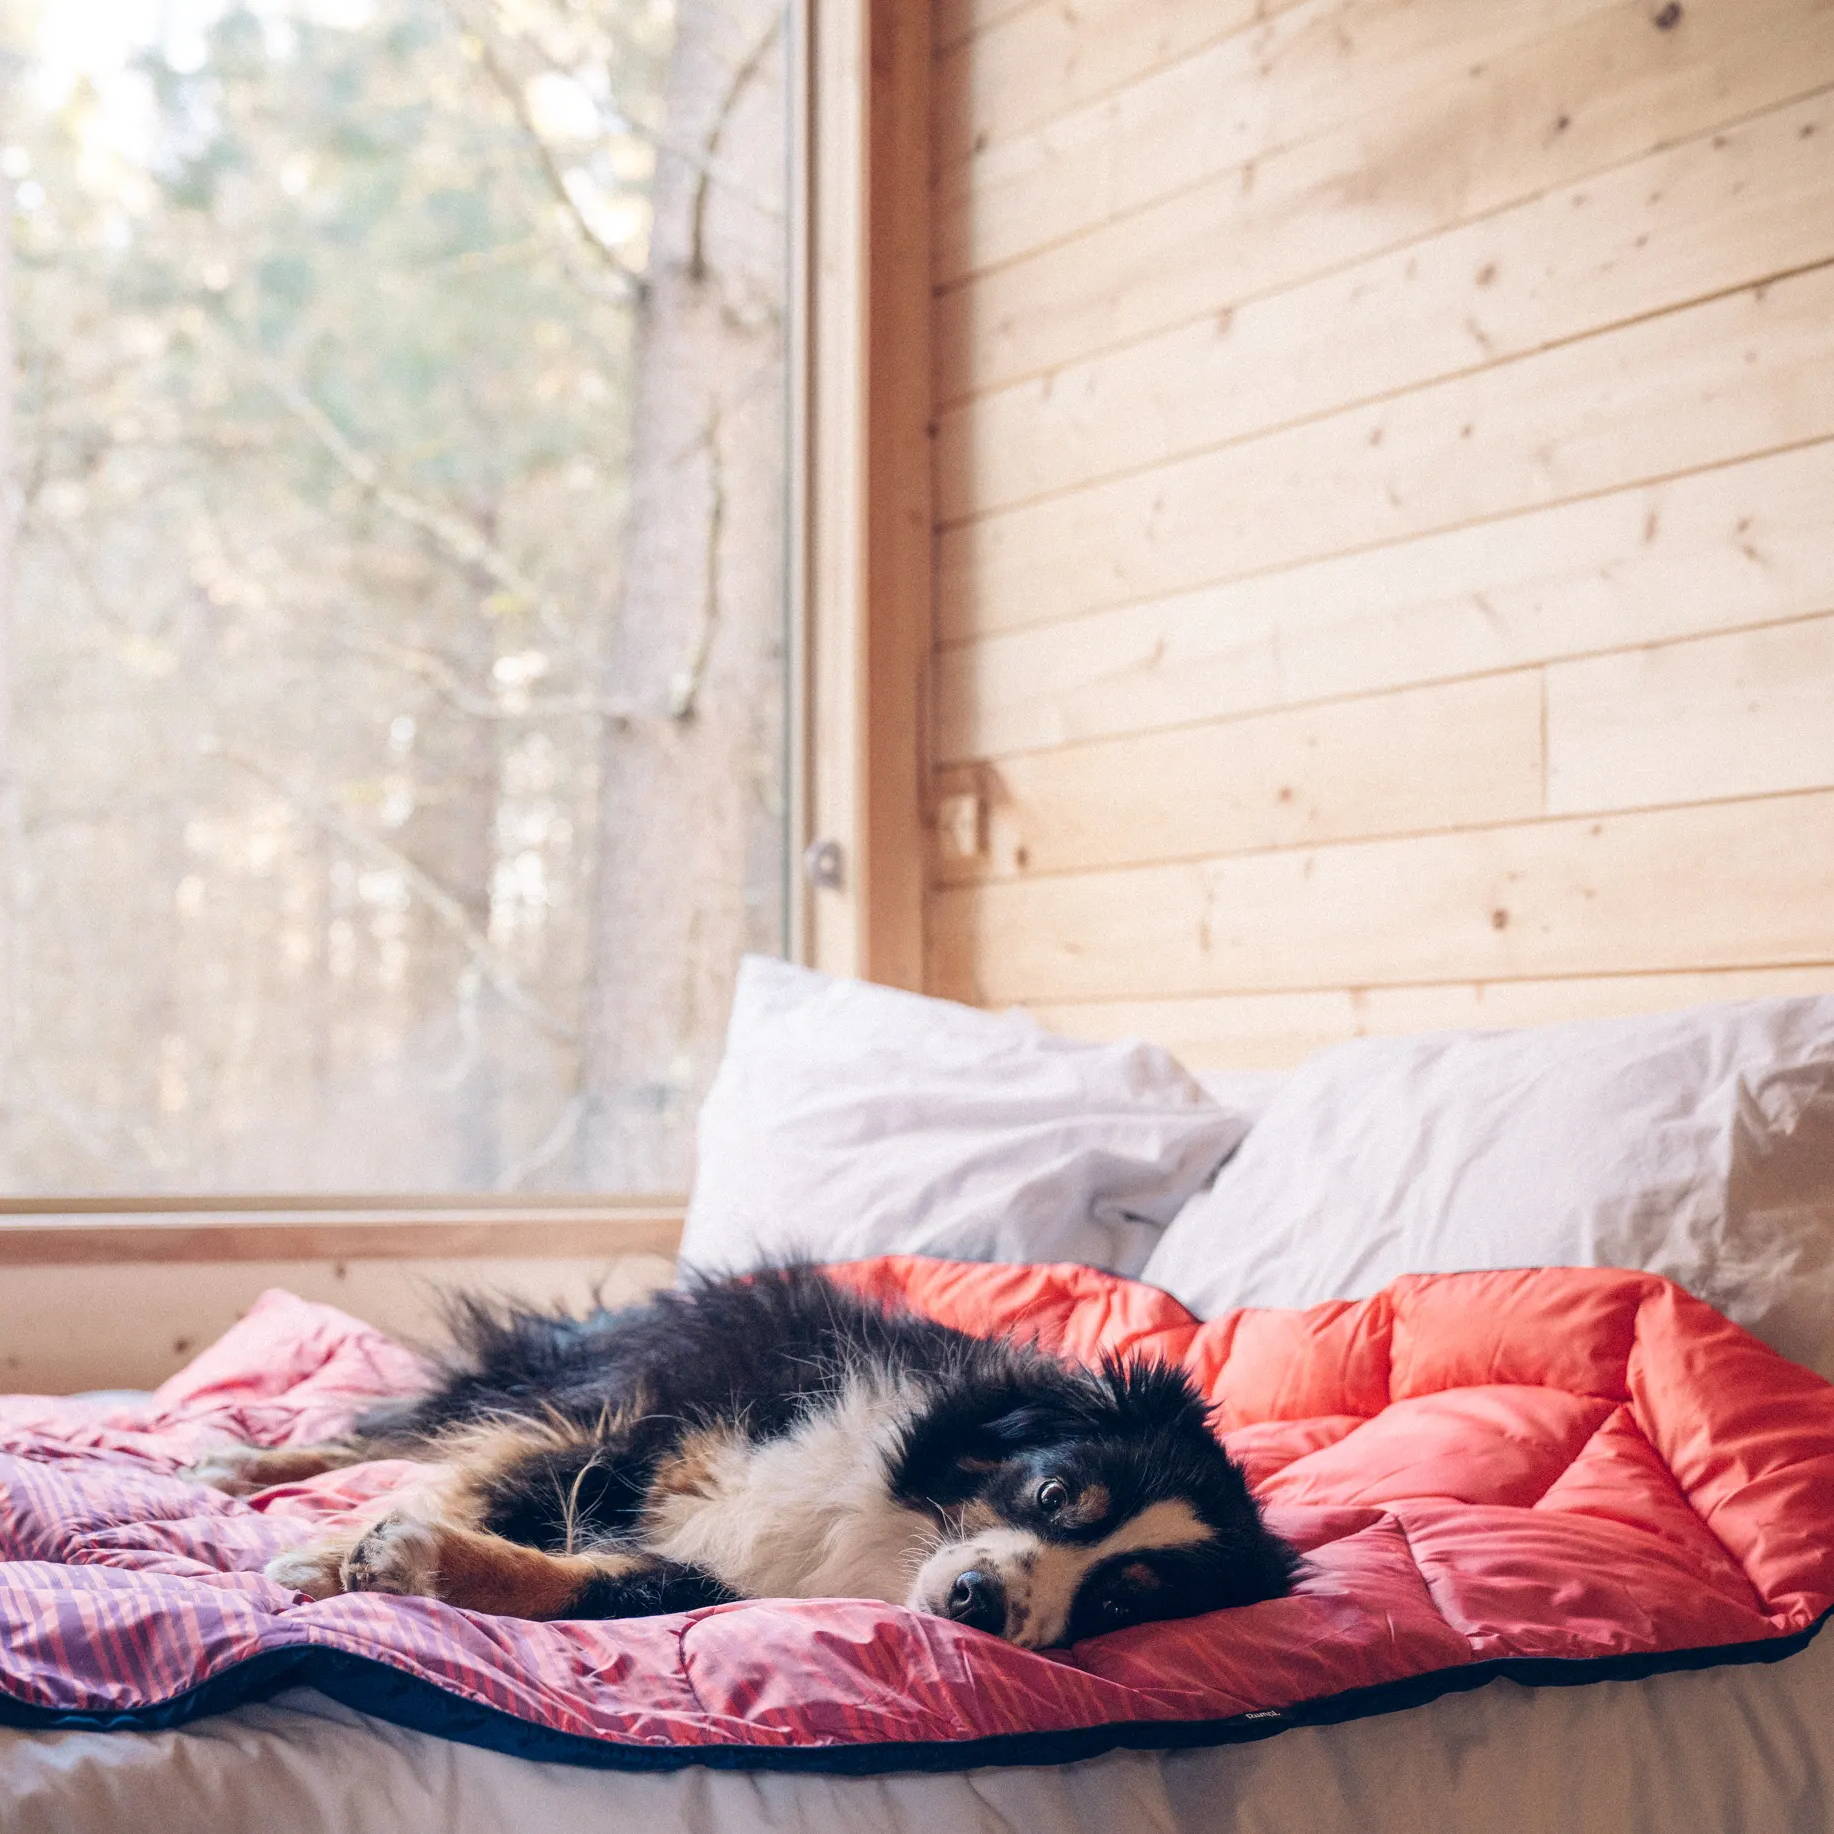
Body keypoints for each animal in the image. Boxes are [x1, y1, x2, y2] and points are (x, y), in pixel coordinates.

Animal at [193, 1261, 1298, 1650]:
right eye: (1057, 1491)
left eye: (1122, 1603)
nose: (980, 1601)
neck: (889, 1539)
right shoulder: (645, 1433)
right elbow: (498, 1483)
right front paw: (330, 1554)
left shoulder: (719, 1582)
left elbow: (592, 1580)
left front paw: (405, 1558)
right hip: (587, 1370)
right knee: (408, 1421)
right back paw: (238, 1466)